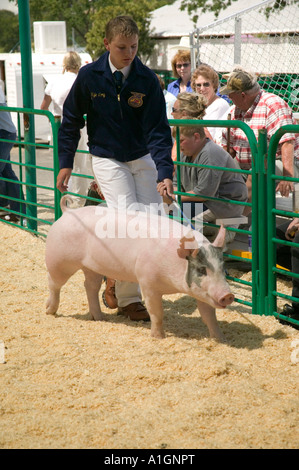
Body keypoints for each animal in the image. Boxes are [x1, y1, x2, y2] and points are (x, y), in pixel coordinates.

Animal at [45, 196, 236, 342]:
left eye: (222, 267)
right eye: (202, 270)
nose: (228, 295)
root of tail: (68, 212)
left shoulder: (204, 293)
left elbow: (209, 315)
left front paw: (221, 340)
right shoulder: (147, 282)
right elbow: (156, 312)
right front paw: (158, 337)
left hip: (92, 267)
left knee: (90, 286)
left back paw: (99, 318)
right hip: (59, 259)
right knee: (54, 284)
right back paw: (49, 311)